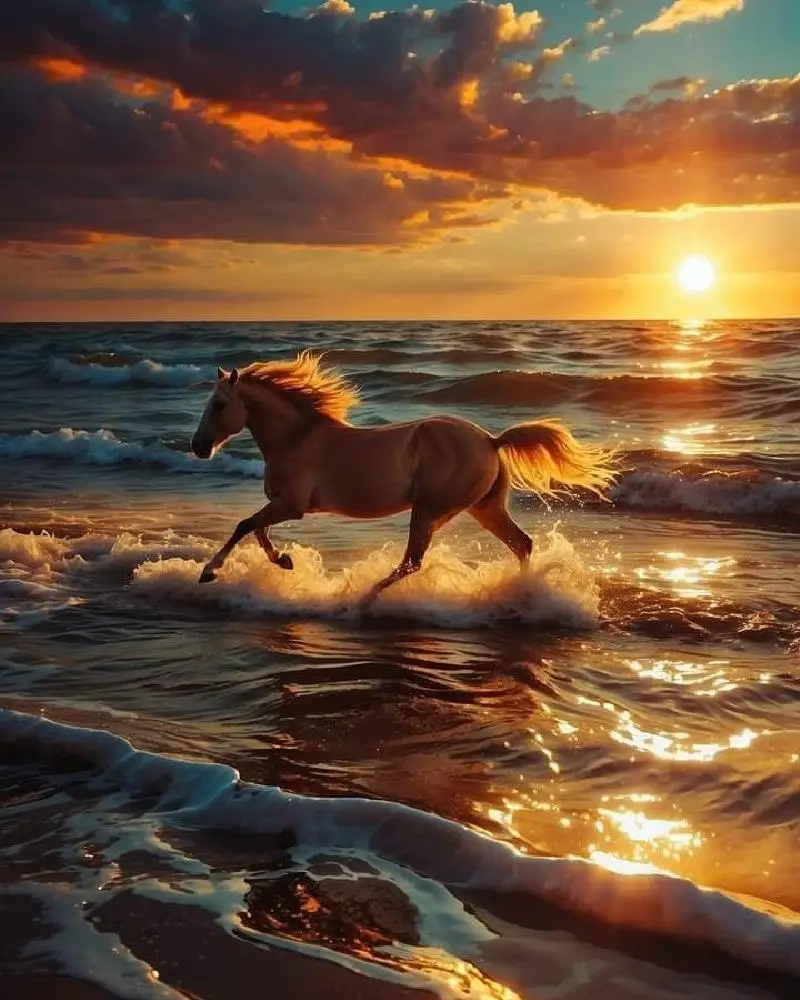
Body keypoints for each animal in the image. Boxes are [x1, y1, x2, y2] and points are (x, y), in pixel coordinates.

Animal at [189, 351, 617, 604]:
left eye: (220, 404)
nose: (198, 447)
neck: (298, 437)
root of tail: (491, 440)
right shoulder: (284, 505)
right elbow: (257, 531)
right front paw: (285, 561)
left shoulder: (291, 506)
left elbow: (244, 526)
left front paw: (210, 572)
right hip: (481, 508)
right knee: (521, 544)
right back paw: (521, 595)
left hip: (430, 509)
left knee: (413, 561)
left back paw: (362, 598)